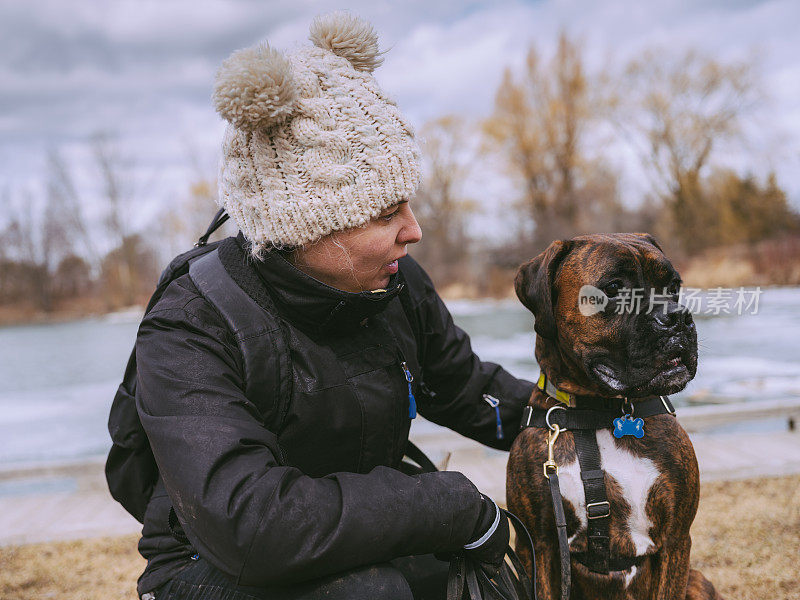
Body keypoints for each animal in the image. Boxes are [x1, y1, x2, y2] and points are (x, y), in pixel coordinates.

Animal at [512, 233, 724, 600]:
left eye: (674, 287)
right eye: (613, 288)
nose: (678, 317)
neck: (598, 414)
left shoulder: (676, 540)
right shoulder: (538, 546)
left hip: (698, 582)